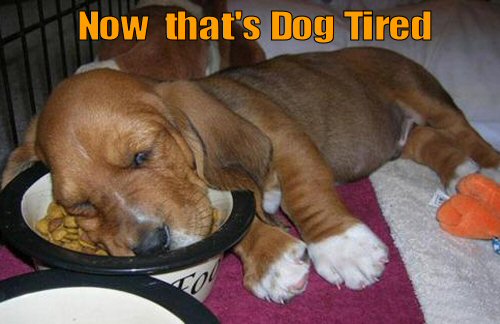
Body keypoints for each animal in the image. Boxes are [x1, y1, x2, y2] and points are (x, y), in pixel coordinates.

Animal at [3, 46, 500, 302]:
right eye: (81, 206)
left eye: (141, 156)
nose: (150, 247)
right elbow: (238, 221)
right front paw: (272, 261)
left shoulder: (285, 139)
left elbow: (306, 195)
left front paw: (341, 249)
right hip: (405, 136)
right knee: (431, 142)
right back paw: (460, 175)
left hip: (422, 94)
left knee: (465, 131)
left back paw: (487, 172)